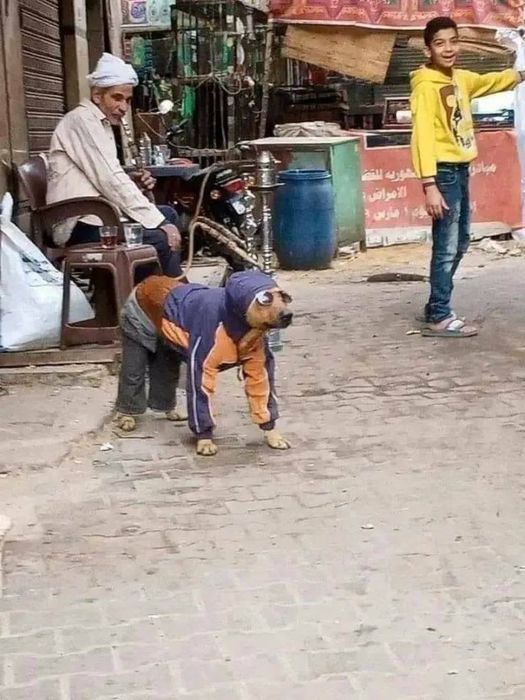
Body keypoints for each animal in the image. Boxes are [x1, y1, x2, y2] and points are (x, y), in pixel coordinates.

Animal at [114, 271, 293, 456]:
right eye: (266, 299)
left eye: (284, 297)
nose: (288, 315)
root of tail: (148, 280)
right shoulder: (200, 362)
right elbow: (200, 400)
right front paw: (205, 441)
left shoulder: (259, 366)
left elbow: (263, 394)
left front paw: (273, 435)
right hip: (136, 338)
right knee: (131, 378)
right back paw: (126, 417)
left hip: (168, 352)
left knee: (165, 379)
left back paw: (170, 412)